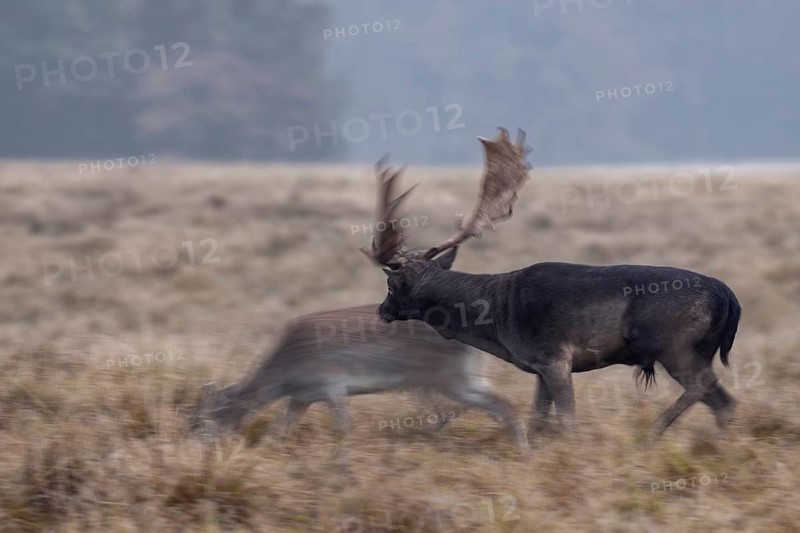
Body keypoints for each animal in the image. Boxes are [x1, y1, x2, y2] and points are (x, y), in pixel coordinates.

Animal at [192, 304, 528, 449]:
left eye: (208, 417)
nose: (194, 444)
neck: (286, 371)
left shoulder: (333, 385)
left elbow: (344, 426)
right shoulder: (301, 398)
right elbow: (280, 429)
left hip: (452, 379)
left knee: (504, 403)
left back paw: (522, 452)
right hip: (454, 380)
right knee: (494, 404)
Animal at [365, 127, 741, 436]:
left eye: (391, 285)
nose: (382, 311)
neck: (497, 320)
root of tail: (728, 297)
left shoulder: (554, 356)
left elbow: (566, 420)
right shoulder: (540, 368)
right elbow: (538, 419)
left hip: (675, 345)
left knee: (707, 390)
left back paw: (654, 432)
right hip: (699, 350)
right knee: (723, 401)